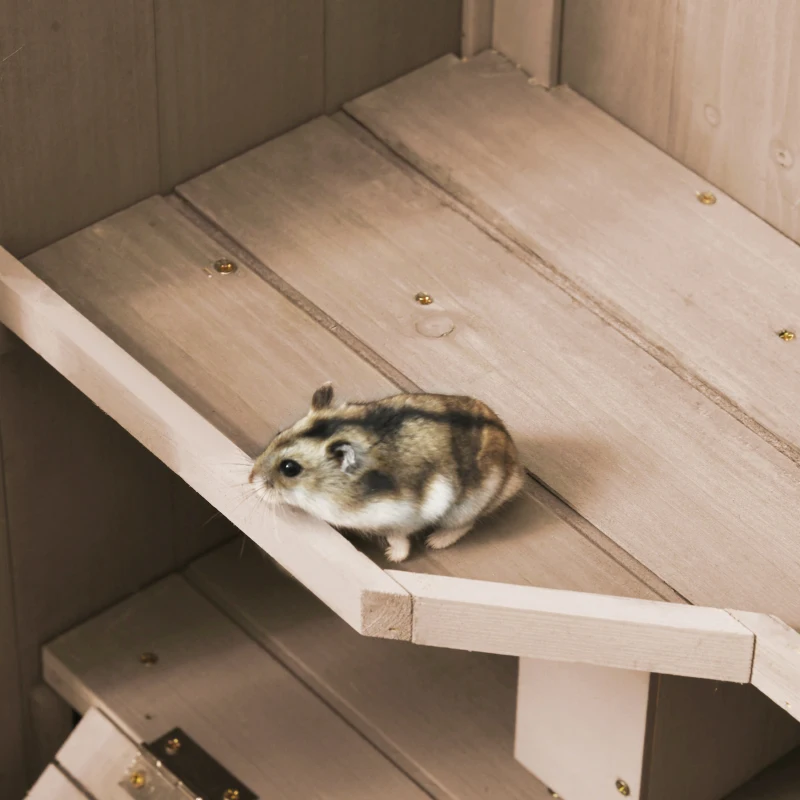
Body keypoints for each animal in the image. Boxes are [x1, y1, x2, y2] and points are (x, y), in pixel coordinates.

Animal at [249, 384, 525, 563]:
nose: (251, 480)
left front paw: (392, 557)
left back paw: (434, 541)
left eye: (289, 468)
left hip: (466, 508)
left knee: (465, 525)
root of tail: (517, 471)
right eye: (278, 434)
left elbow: (398, 537)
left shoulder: (399, 517)